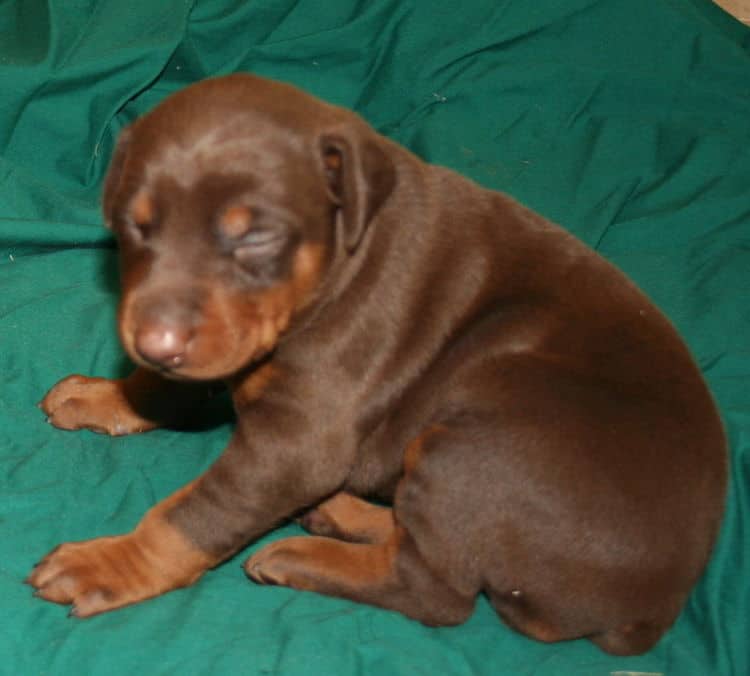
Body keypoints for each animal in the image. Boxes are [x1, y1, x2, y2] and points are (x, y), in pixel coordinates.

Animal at [29, 72, 728, 656]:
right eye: (134, 225)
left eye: (255, 236)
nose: (155, 344)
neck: (340, 258)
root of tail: (656, 607)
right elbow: (173, 389)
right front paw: (109, 395)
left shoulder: (297, 441)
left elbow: (194, 514)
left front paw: (110, 563)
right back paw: (342, 512)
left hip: (480, 436)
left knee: (435, 591)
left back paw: (304, 554)